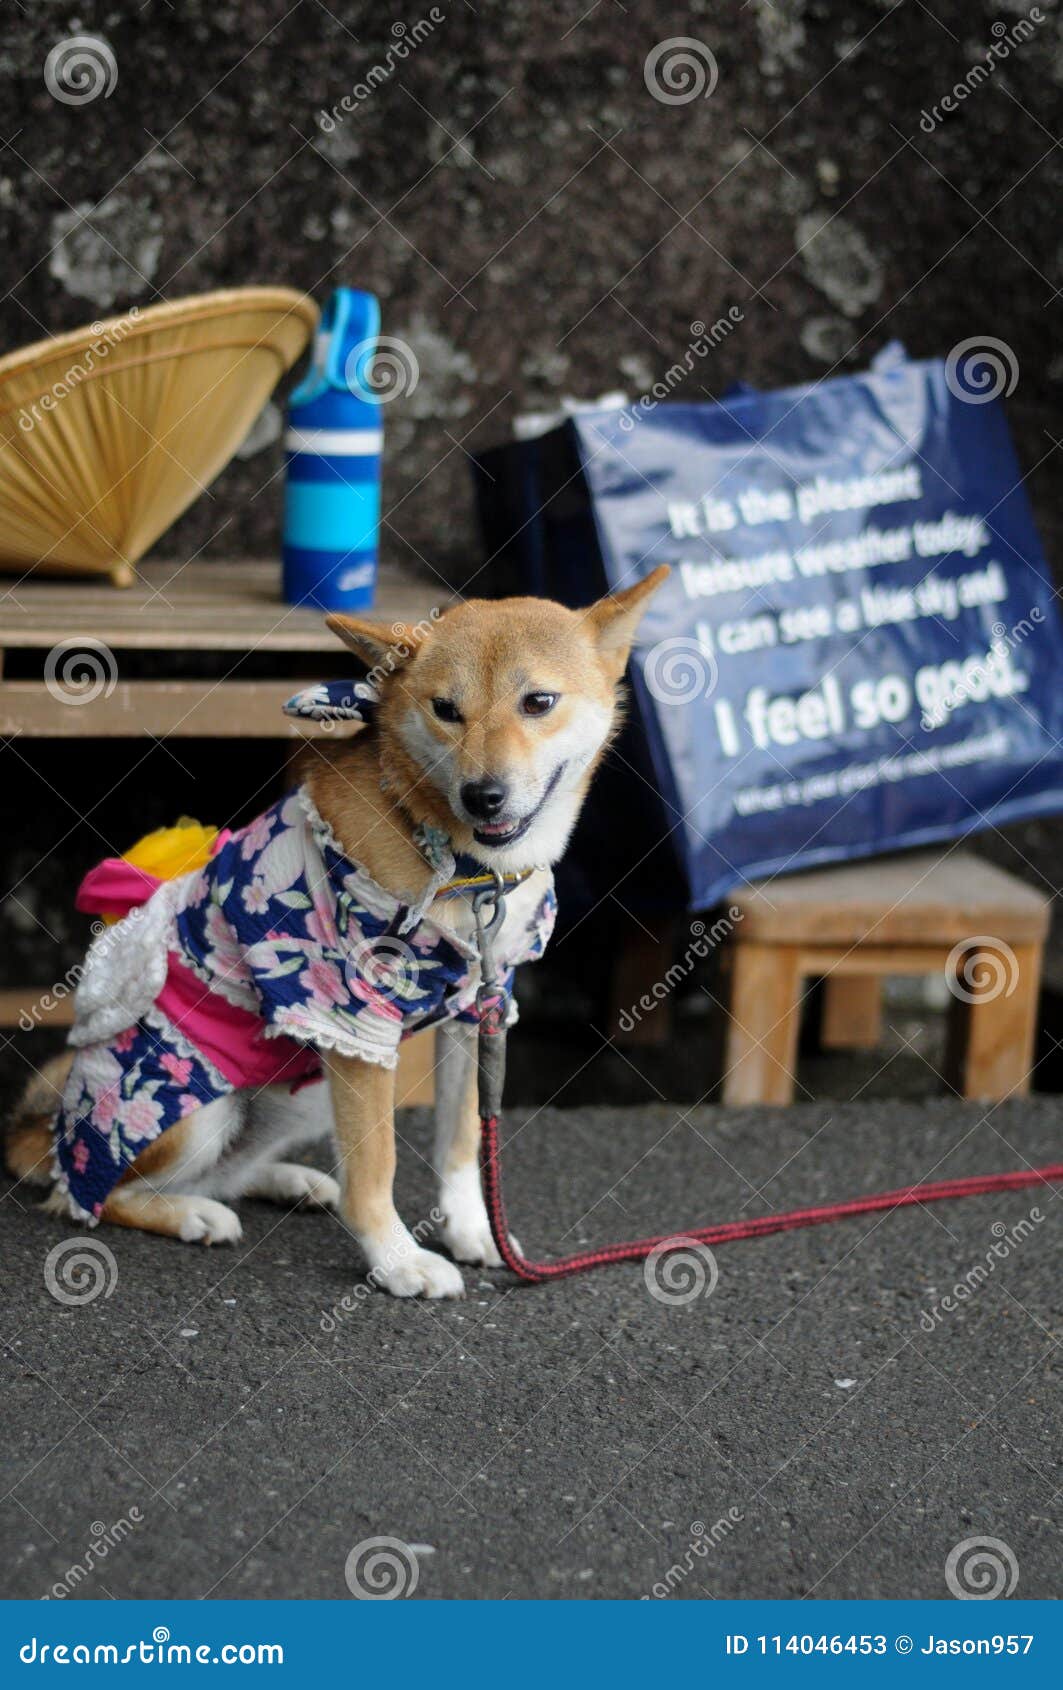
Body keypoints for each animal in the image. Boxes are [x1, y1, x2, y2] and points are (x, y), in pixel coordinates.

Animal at [8, 567, 665, 1291]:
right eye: (446, 709)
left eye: (538, 701)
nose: (483, 796)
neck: (458, 866)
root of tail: (42, 1134)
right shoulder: (352, 1025)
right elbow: (376, 1166)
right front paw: (398, 1261)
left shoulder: (477, 1013)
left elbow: (463, 1144)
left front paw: (471, 1229)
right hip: (188, 1106)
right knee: (93, 1193)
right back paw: (189, 1214)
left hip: (306, 1091)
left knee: (227, 1171)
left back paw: (285, 1181)